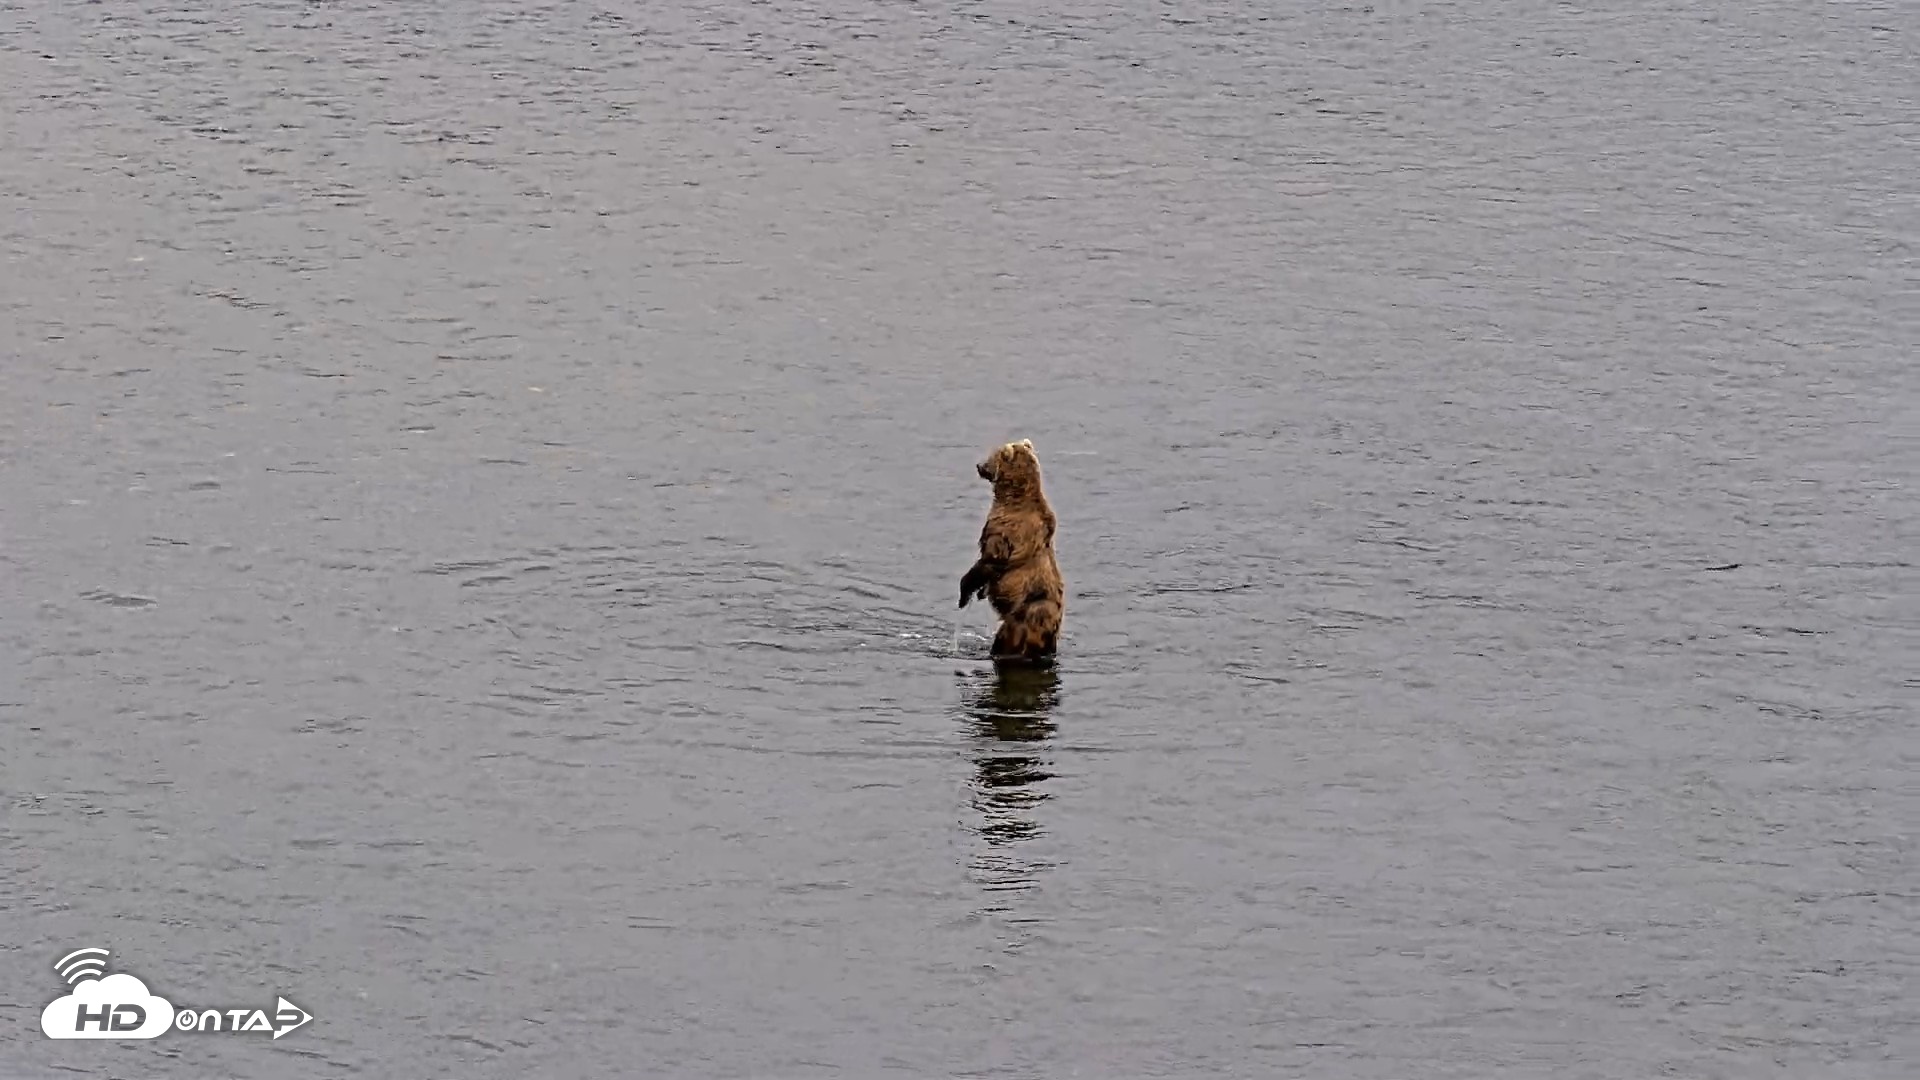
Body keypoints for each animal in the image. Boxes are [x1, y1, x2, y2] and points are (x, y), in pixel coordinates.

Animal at [958, 438, 1065, 663]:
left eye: (991, 455)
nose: (979, 466)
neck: (1012, 496)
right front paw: (980, 592)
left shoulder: (1007, 530)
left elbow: (989, 558)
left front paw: (965, 594)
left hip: (1024, 617)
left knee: (1005, 639)